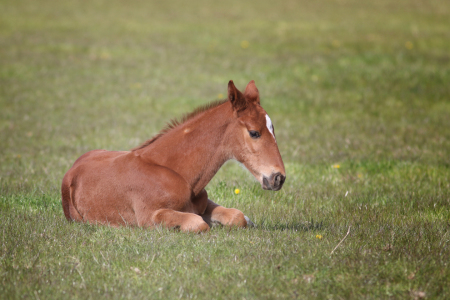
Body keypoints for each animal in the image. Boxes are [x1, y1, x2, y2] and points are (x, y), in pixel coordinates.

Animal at [60, 81, 284, 233]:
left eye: (274, 129)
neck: (178, 173)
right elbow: (198, 223)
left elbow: (237, 216)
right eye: (254, 133)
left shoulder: (204, 203)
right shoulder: (149, 216)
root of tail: (73, 168)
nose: (279, 177)